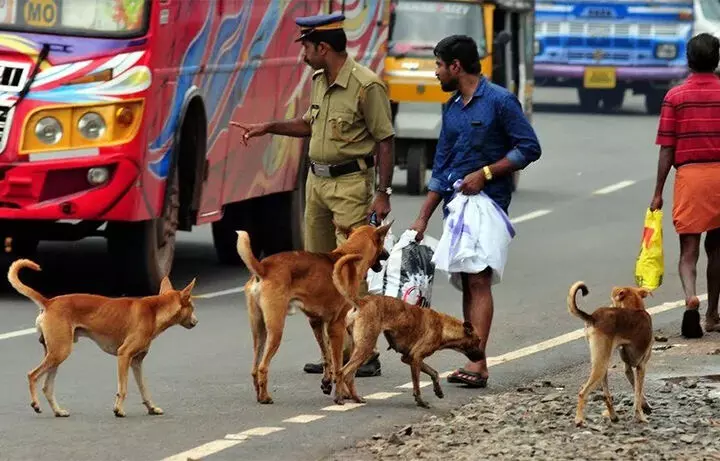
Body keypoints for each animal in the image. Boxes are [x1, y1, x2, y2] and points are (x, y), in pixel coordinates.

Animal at [9, 258, 200, 416]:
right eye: (193, 306)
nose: (196, 321)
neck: (154, 311)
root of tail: (49, 302)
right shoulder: (124, 355)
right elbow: (123, 388)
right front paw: (119, 410)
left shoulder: (136, 362)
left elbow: (144, 388)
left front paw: (151, 407)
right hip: (60, 352)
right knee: (32, 375)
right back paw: (36, 404)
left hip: (55, 354)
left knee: (47, 387)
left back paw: (58, 411)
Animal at [235, 221, 394, 404]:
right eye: (382, 241)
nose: (388, 253)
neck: (349, 255)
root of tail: (263, 267)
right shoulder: (336, 327)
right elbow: (338, 364)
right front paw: (341, 393)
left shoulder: (317, 322)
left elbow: (327, 357)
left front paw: (328, 383)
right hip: (275, 331)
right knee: (262, 367)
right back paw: (265, 397)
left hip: (259, 332)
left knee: (255, 367)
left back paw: (259, 395)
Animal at [330, 252, 484, 406]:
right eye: (478, 341)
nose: (482, 356)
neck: (443, 327)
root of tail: (362, 301)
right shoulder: (416, 358)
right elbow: (417, 384)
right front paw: (420, 401)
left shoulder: (409, 358)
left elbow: (434, 373)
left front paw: (438, 391)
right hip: (365, 348)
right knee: (342, 372)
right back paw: (339, 397)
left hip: (358, 348)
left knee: (349, 376)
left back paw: (356, 397)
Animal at [568, 280, 652, 428]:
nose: (611, 305)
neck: (636, 308)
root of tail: (593, 317)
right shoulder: (641, 366)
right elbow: (638, 393)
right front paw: (640, 416)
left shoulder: (628, 368)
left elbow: (637, 390)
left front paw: (644, 405)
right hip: (601, 365)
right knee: (583, 392)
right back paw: (579, 419)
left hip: (602, 363)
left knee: (606, 396)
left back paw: (613, 416)